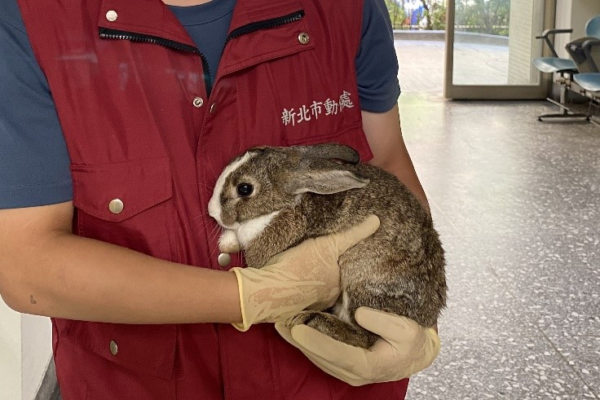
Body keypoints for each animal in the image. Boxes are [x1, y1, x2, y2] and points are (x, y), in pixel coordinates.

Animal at [206, 143, 446, 346]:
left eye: (244, 188)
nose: (212, 211)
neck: (285, 205)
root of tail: (426, 315)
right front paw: (227, 242)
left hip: (363, 282)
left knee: (365, 337)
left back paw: (313, 320)